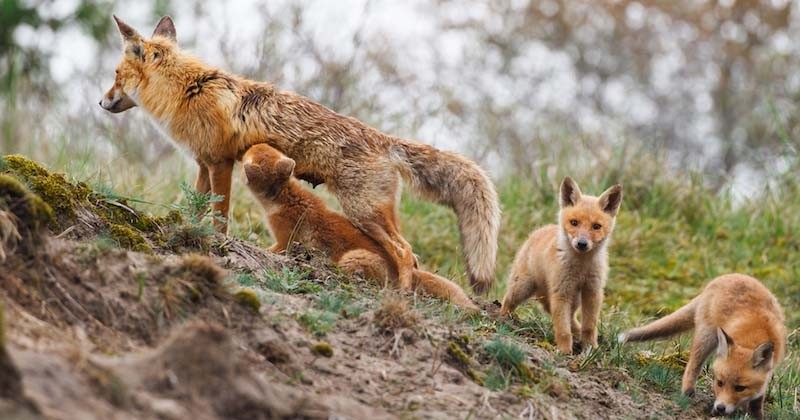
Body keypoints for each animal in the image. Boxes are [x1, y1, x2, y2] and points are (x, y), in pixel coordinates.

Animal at [100, 15, 500, 292]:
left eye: (116, 74)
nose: (100, 102)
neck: (189, 90)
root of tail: (382, 138)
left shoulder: (220, 163)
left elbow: (219, 216)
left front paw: (216, 245)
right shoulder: (203, 164)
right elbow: (196, 208)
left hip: (363, 211)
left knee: (405, 253)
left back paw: (402, 293)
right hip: (374, 215)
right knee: (410, 255)